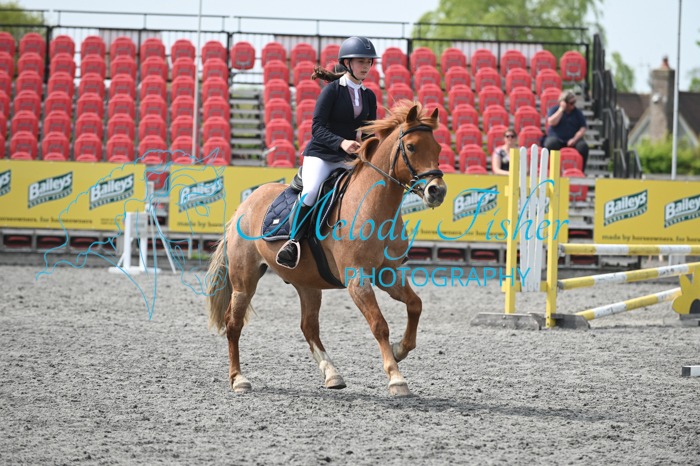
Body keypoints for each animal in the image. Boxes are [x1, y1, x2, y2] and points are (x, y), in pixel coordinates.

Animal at [206, 101, 447, 397]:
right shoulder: (357, 280)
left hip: (307, 284)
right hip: (244, 281)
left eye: (438, 148)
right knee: (233, 323)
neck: (372, 205)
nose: (437, 191)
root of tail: (245, 205)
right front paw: (396, 377)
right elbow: (379, 324)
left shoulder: (388, 274)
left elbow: (415, 305)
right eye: (411, 147)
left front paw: (400, 350)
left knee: (309, 327)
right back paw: (239, 379)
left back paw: (332, 374)